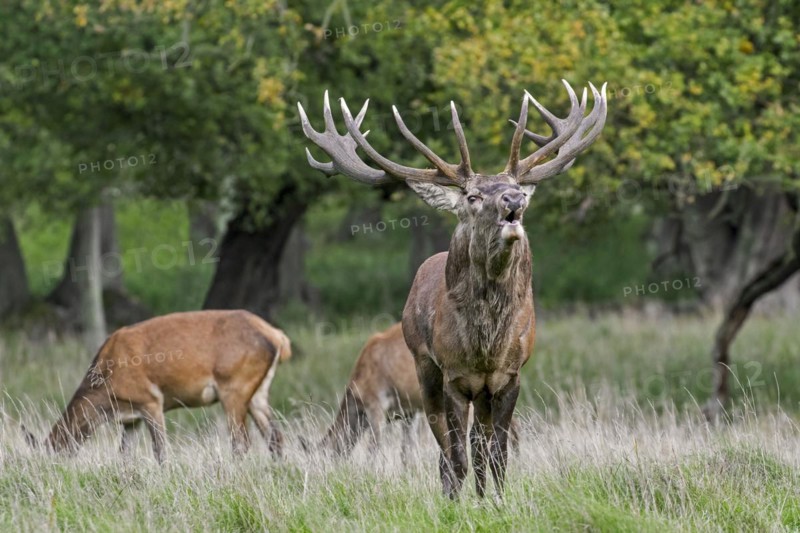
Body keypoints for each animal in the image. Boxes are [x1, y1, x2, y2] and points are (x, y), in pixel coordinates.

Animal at [25, 310, 291, 463]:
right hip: (258, 392)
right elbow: (125, 456)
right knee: (275, 436)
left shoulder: (150, 400)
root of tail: (278, 337)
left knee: (241, 442)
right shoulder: (130, 418)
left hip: (234, 384)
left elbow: (160, 451)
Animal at [298, 80, 607, 498]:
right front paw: (458, 501)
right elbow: (455, 454)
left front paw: (496, 500)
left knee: (478, 446)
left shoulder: (509, 377)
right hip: (424, 369)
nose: (513, 201)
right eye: (473, 197)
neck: (486, 348)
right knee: (446, 450)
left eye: (516, 188)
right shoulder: (453, 378)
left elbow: (496, 455)